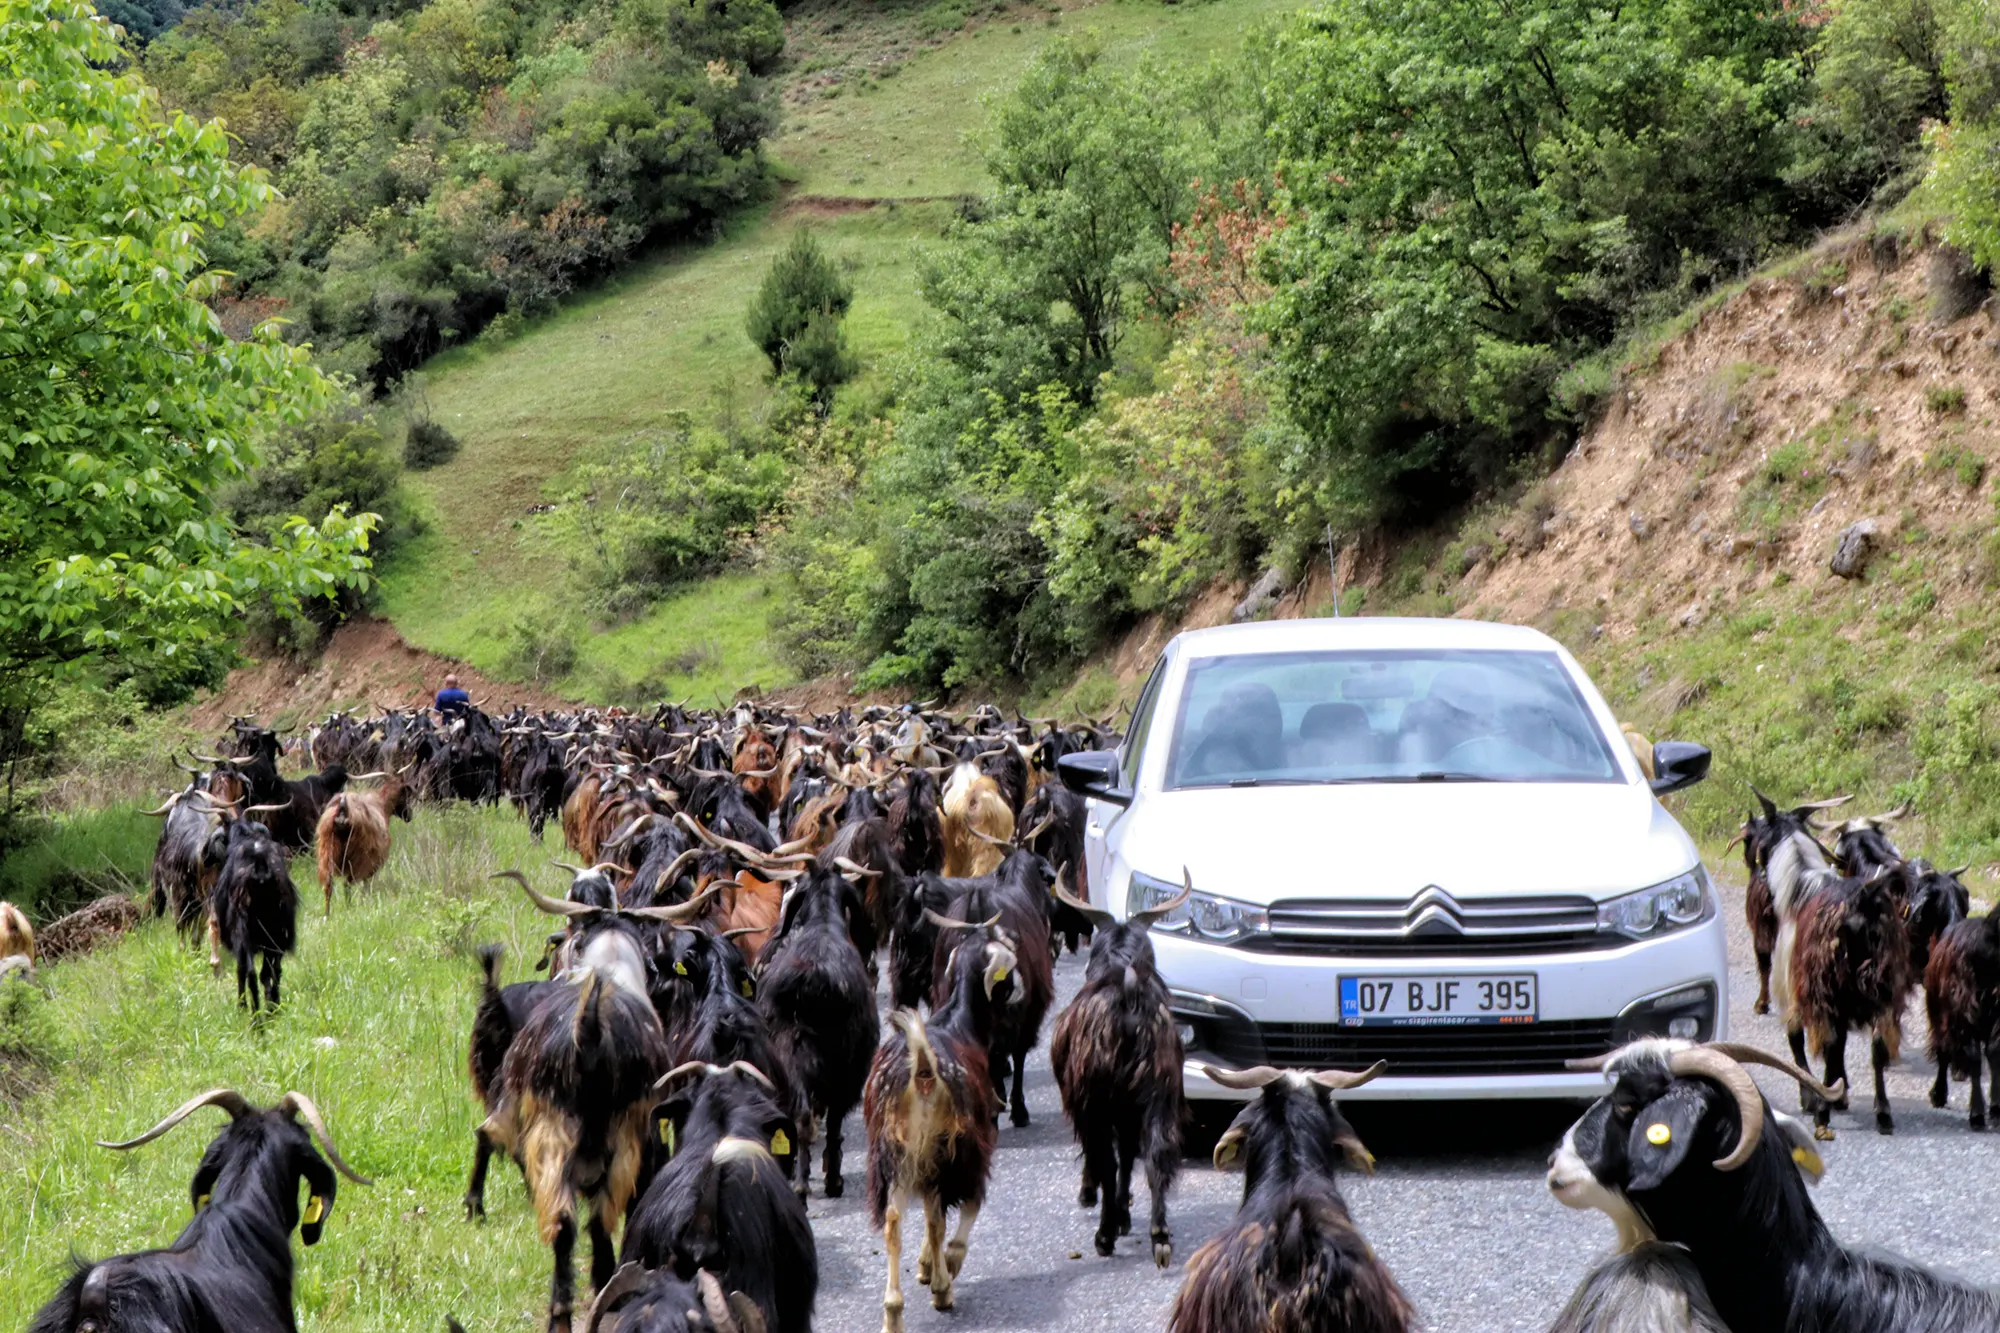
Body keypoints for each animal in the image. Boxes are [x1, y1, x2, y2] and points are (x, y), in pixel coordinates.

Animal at [752, 860, 880, 1192]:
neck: (822, 922)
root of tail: (811, 978)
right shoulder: (850, 1071)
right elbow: (834, 1122)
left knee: (800, 1116)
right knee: (812, 1118)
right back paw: (814, 1183)